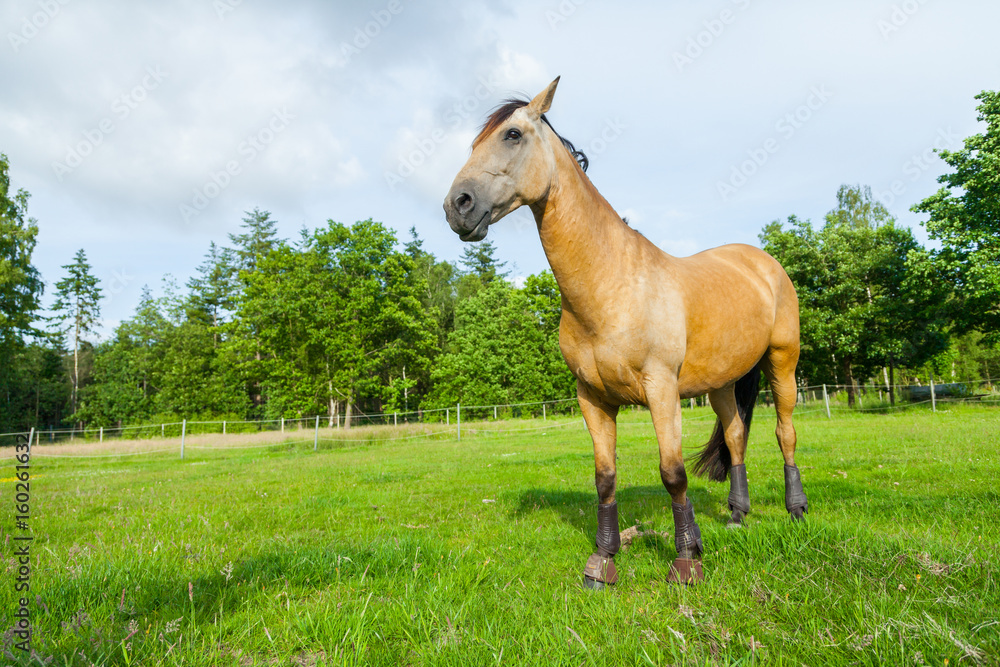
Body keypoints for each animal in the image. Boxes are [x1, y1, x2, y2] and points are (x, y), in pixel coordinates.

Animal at [443, 77, 807, 588]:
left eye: (512, 135)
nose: (457, 205)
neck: (611, 283)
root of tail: (762, 262)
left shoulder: (661, 390)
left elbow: (673, 473)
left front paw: (687, 560)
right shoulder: (592, 397)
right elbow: (605, 477)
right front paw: (603, 562)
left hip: (782, 362)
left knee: (784, 432)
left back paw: (796, 511)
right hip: (722, 382)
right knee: (736, 435)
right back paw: (737, 515)